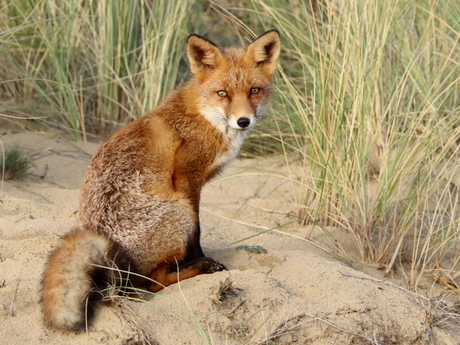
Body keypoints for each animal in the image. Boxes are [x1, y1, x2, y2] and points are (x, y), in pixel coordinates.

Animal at [41, 29, 282, 330]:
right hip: (178, 210)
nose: (243, 121)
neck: (205, 115)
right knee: (152, 283)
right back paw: (201, 267)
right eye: (222, 93)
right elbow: (198, 233)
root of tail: (111, 259)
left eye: (254, 90)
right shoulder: (187, 178)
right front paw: (199, 258)